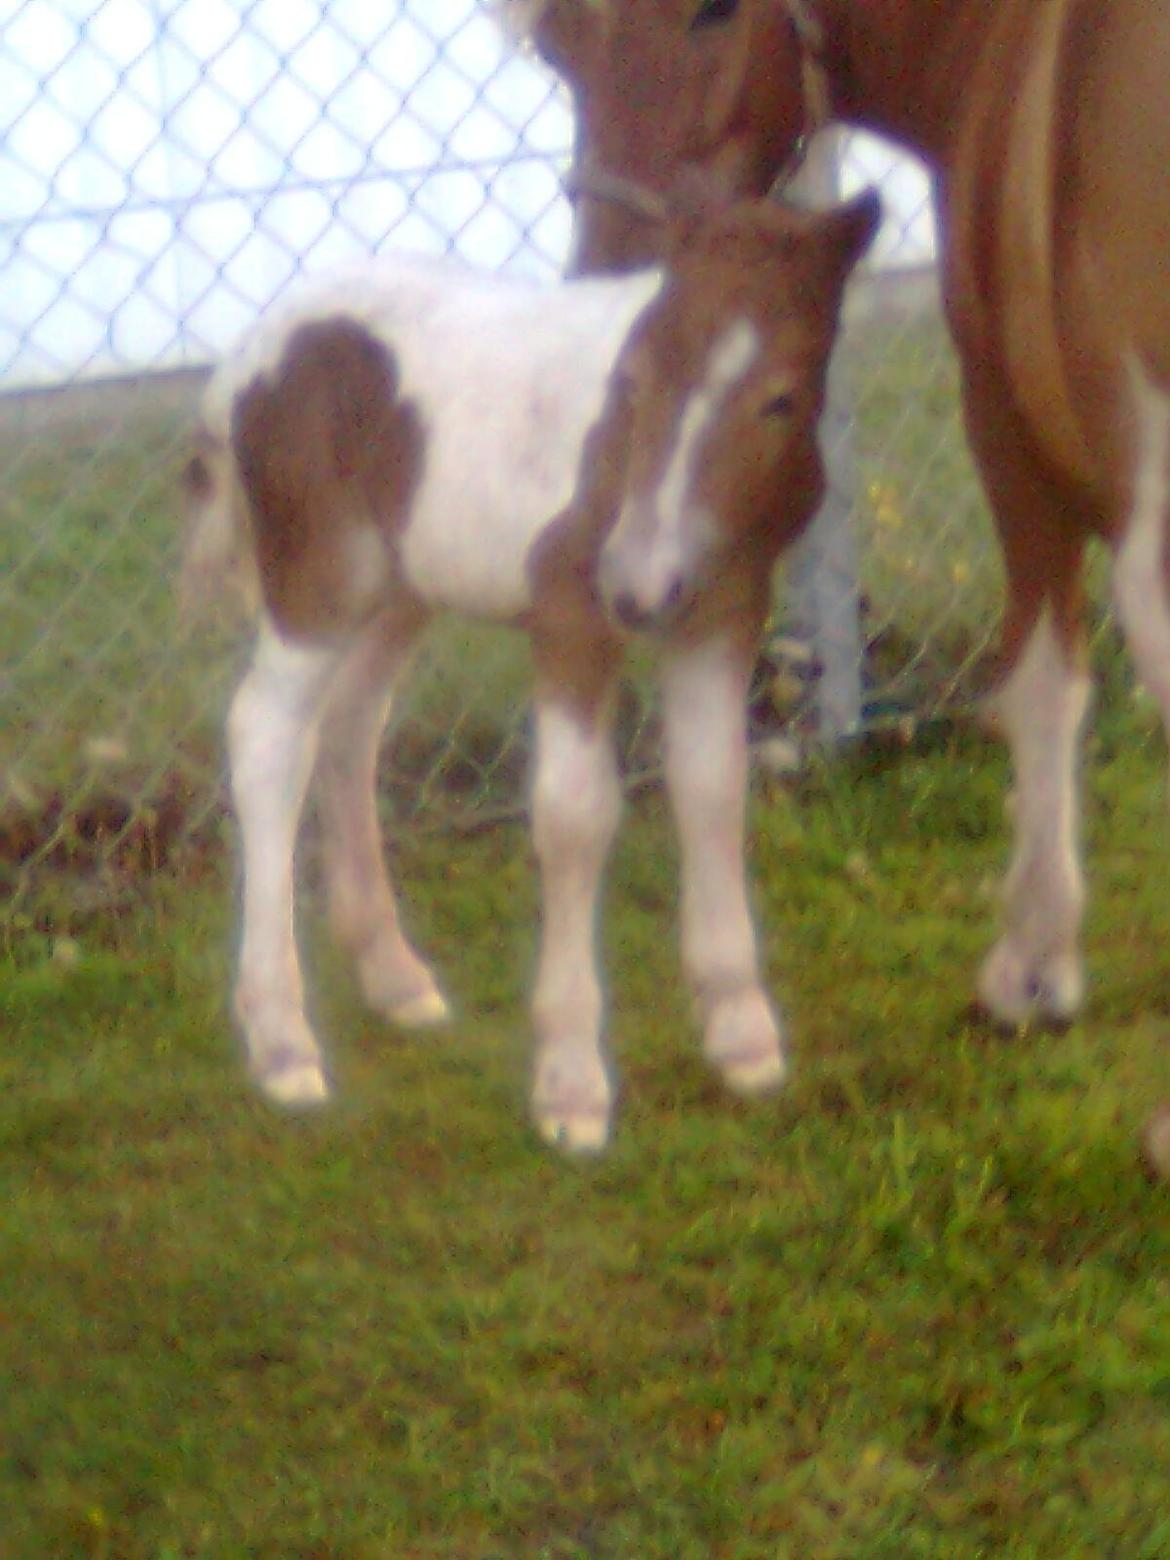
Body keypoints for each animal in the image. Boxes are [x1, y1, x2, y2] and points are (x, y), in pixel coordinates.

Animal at [183, 191, 879, 1148]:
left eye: (779, 398)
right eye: (633, 382)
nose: (639, 588)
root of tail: (250, 349)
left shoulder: (722, 616)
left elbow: (712, 789)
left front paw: (742, 1032)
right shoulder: (573, 618)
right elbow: (575, 815)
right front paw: (571, 1081)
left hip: (404, 584)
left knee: (352, 724)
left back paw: (393, 976)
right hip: (322, 579)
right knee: (267, 737)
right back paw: (282, 1038)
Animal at [511, 0, 1170, 1173]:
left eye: (713, 13)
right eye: (554, 46)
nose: (616, 288)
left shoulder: (1009, 432)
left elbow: (1042, 687)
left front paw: (1031, 967)